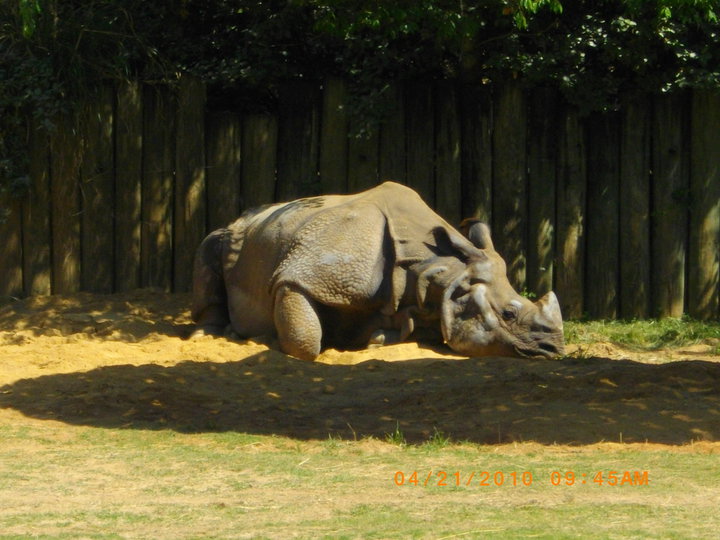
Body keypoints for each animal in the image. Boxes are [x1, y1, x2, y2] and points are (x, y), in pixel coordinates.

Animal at [191, 182, 565, 360]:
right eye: (508, 314)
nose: (554, 350)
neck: (435, 270)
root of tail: (245, 215)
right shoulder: (301, 275)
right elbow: (304, 336)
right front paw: (269, 340)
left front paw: (376, 340)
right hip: (231, 232)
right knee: (209, 244)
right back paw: (214, 335)